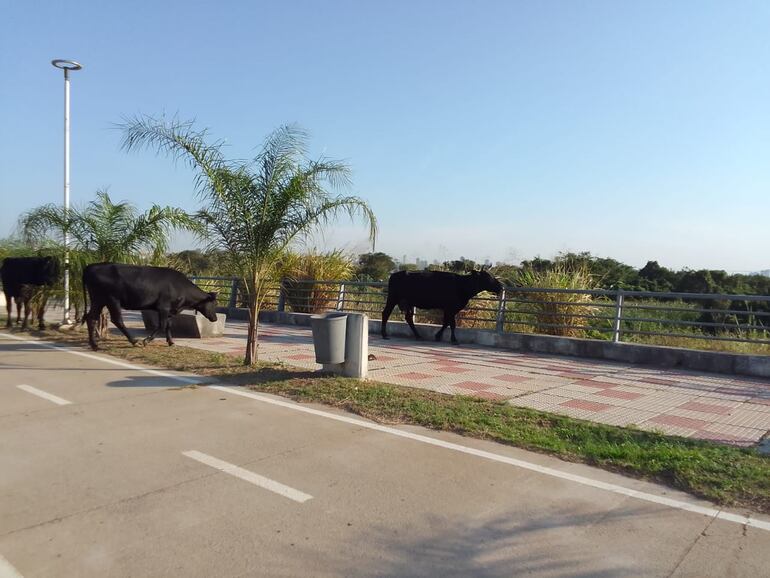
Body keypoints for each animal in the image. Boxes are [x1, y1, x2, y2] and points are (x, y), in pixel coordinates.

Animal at [83, 262, 218, 352]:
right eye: (214, 304)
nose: (215, 318)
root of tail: (91, 266)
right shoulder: (163, 307)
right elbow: (162, 325)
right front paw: (146, 341)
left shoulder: (170, 310)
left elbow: (168, 325)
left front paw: (171, 342)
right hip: (112, 299)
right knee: (117, 320)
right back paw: (135, 341)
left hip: (98, 300)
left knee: (91, 318)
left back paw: (94, 345)